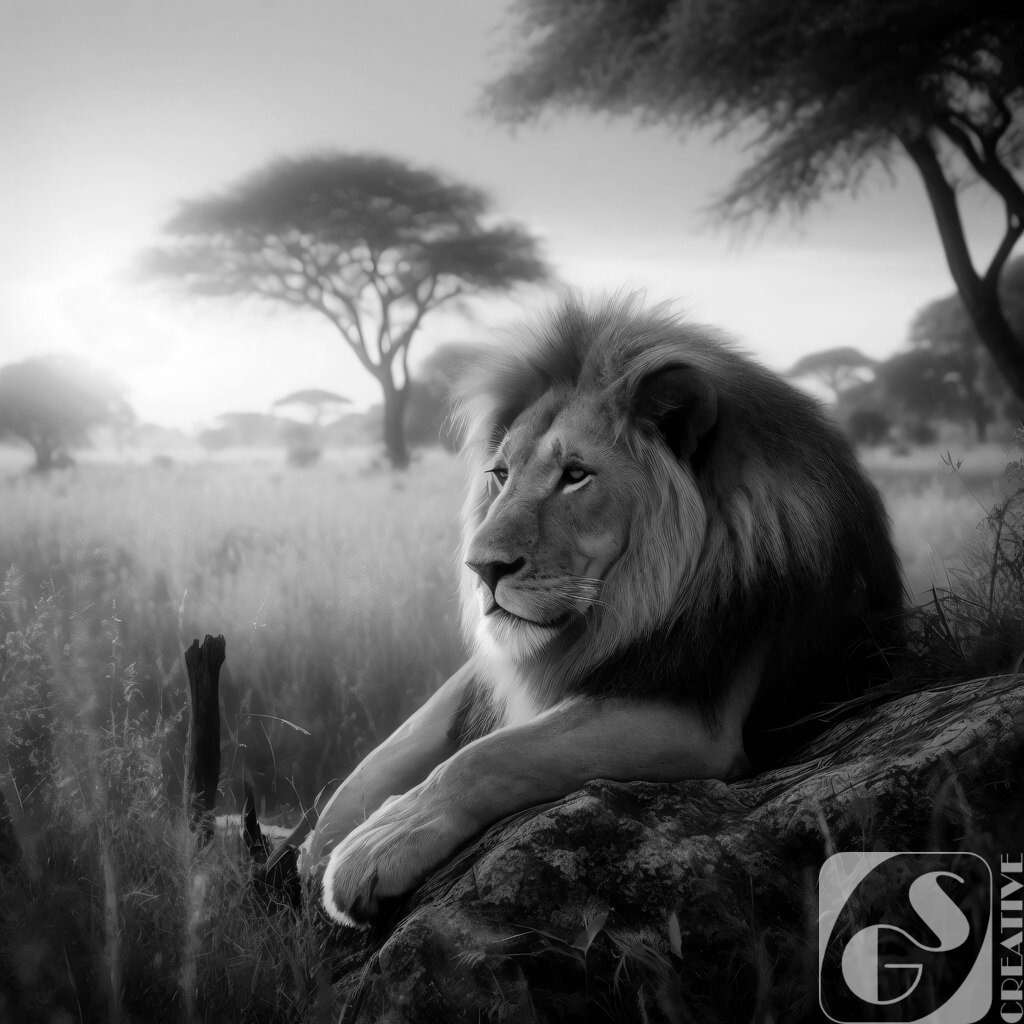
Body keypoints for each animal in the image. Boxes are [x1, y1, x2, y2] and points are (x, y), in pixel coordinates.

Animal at [299, 293, 903, 926]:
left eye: (575, 475)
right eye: (501, 474)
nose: (482, 569)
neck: (621, 610)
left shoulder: (693, 719)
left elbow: (490, 755)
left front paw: (377, 845)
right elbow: (411, 759)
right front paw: (333, 843)